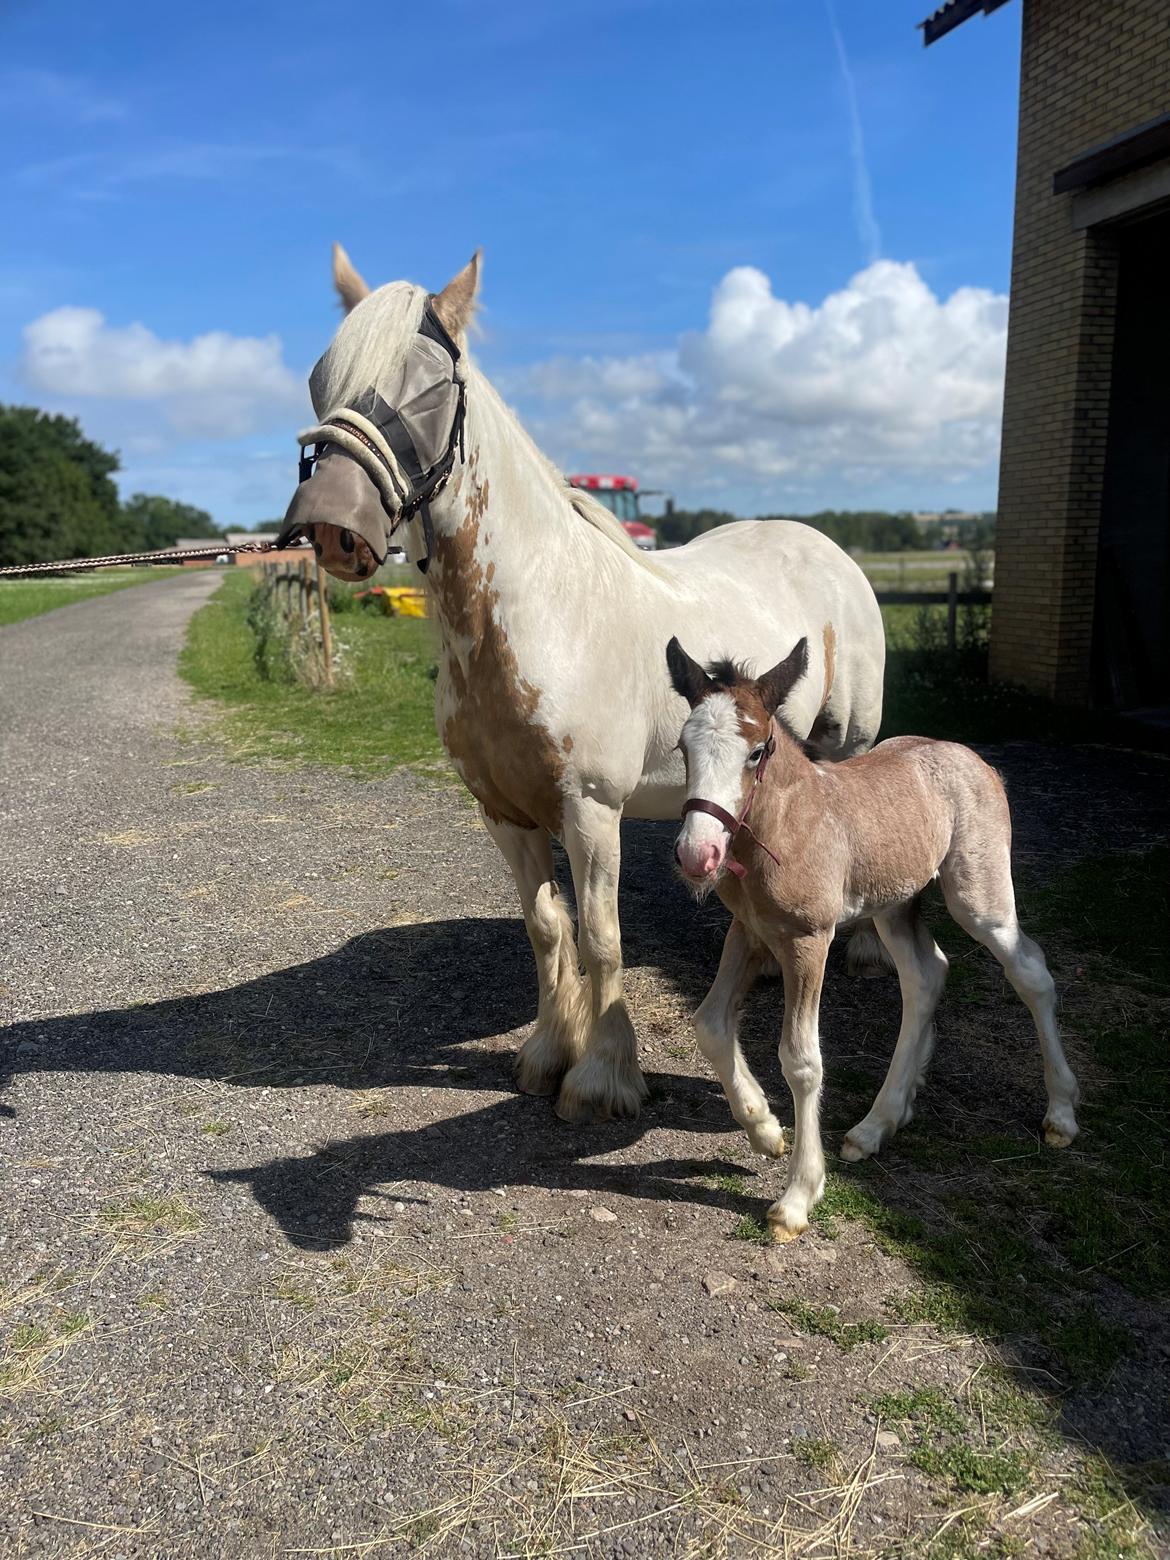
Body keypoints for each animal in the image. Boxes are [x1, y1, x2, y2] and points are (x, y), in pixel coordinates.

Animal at [287, 246, 886, 1123]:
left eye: (431, 384)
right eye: (319, 378)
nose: (332, 525)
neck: (543, 611)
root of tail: (827, 549)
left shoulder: (592, 810)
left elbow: (602, 938)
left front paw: (604, 1076)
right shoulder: (504, 813)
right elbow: (546, 928)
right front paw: (546, 1054)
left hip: (849, 741)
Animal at [667, 633, 1079, 1241]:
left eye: (757, 751)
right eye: (682, 747)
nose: (699, 854)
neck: (784, 826)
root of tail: (973, 758)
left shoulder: (809, 938)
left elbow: (802, 1059)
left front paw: (797, 1196)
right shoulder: (750, 930)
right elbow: (710, 1024)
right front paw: (764, 1128)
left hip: (978, 894)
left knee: (1029, 971)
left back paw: (1061, 1113)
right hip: (894, 903)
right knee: (926, 975)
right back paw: (878, 1124)